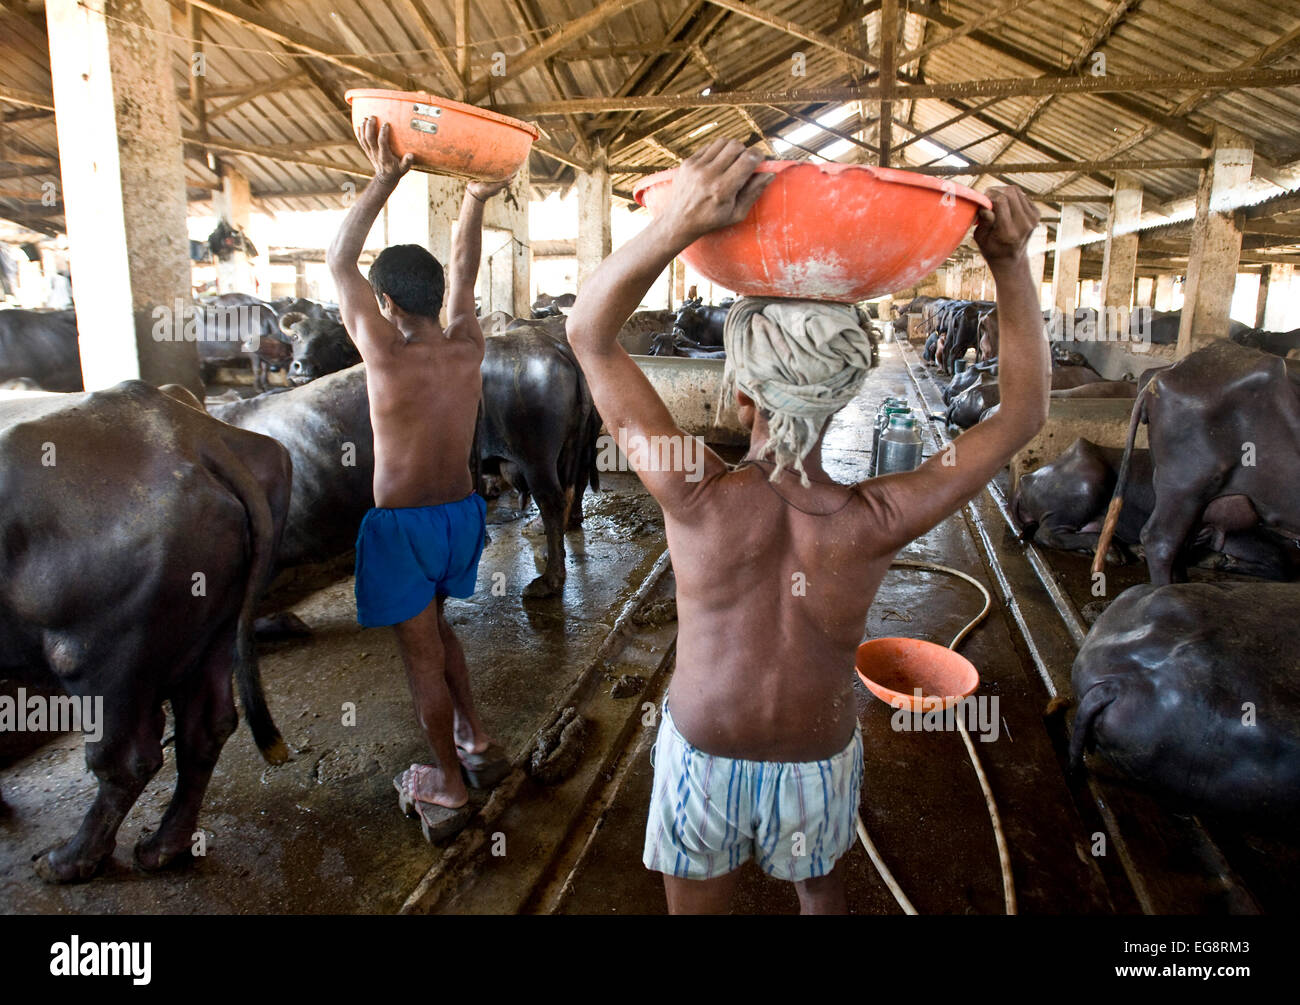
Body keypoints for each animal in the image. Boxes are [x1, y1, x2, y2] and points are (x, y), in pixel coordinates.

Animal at [0, 379, 289, 884]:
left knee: (125, 759)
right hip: (214, 633)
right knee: (206, 727)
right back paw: (164, 847)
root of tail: (190, 433)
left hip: (97, 659)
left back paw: (69, 860)